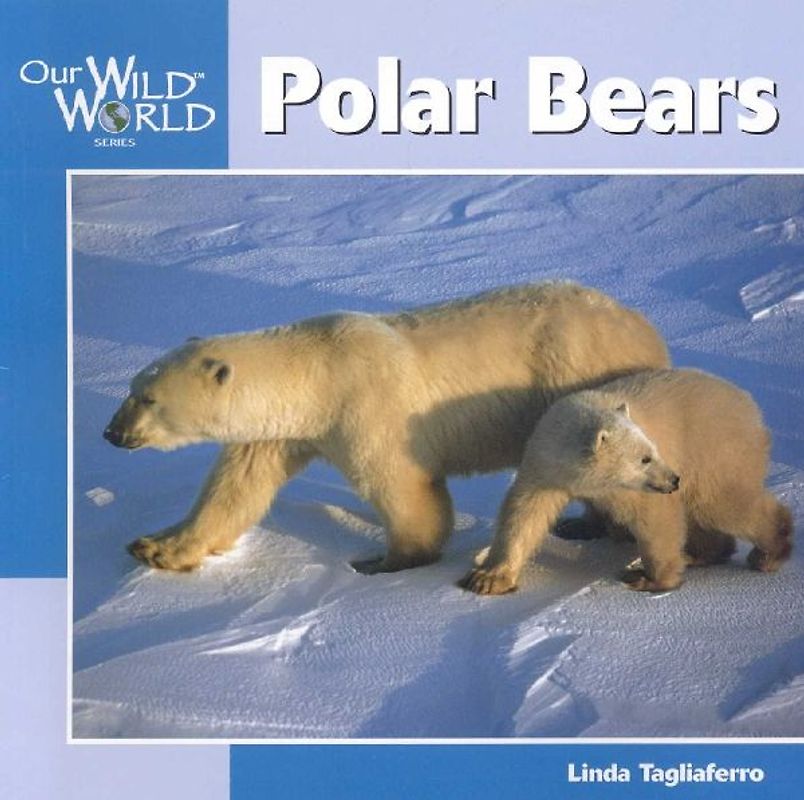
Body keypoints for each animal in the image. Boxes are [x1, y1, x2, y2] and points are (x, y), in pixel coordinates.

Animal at [103, 282, 669, 574]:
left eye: (147, 398)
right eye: (131, 386)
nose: (111, 434)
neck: (316, 370)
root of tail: (644, 325)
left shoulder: (366, 407)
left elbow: (403, 485)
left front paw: (384, 560)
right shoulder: (282, 431)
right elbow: (235, 489)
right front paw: (156, 547)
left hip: (579, 377)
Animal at [460, 368, 793, 594]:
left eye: (653, 450)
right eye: (645, 458)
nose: (674, 479)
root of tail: (749, 405)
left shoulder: (629, 488)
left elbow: (654, 518)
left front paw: (648, 578)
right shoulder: (543, 467)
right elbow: (524, 514)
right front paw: (488, 578)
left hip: (715, 449)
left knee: (721, 503)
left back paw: (769, 552)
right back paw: (700, 553)